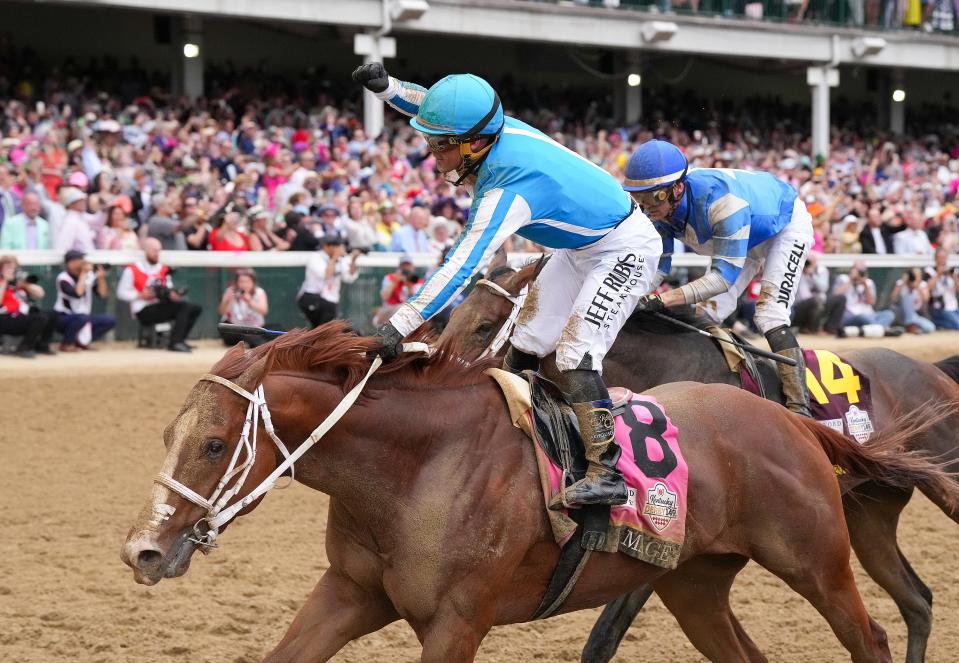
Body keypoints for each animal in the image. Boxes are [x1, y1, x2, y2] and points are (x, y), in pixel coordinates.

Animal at [122, 322, 959, 663]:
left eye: (213, 442)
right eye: (164, 431)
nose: (142, 550)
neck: (417, 465)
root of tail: (790, 419)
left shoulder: (457, 620)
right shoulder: (352, 592)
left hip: (816, 555)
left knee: (872, 635)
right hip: (696, 582)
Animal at [440, 260, 959, 663]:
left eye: (485, 325)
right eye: (454, 315)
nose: (448, 373)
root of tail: (933, 370)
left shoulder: (665, 523)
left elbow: (603, 637)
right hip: (870, 514)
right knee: (917, 600)